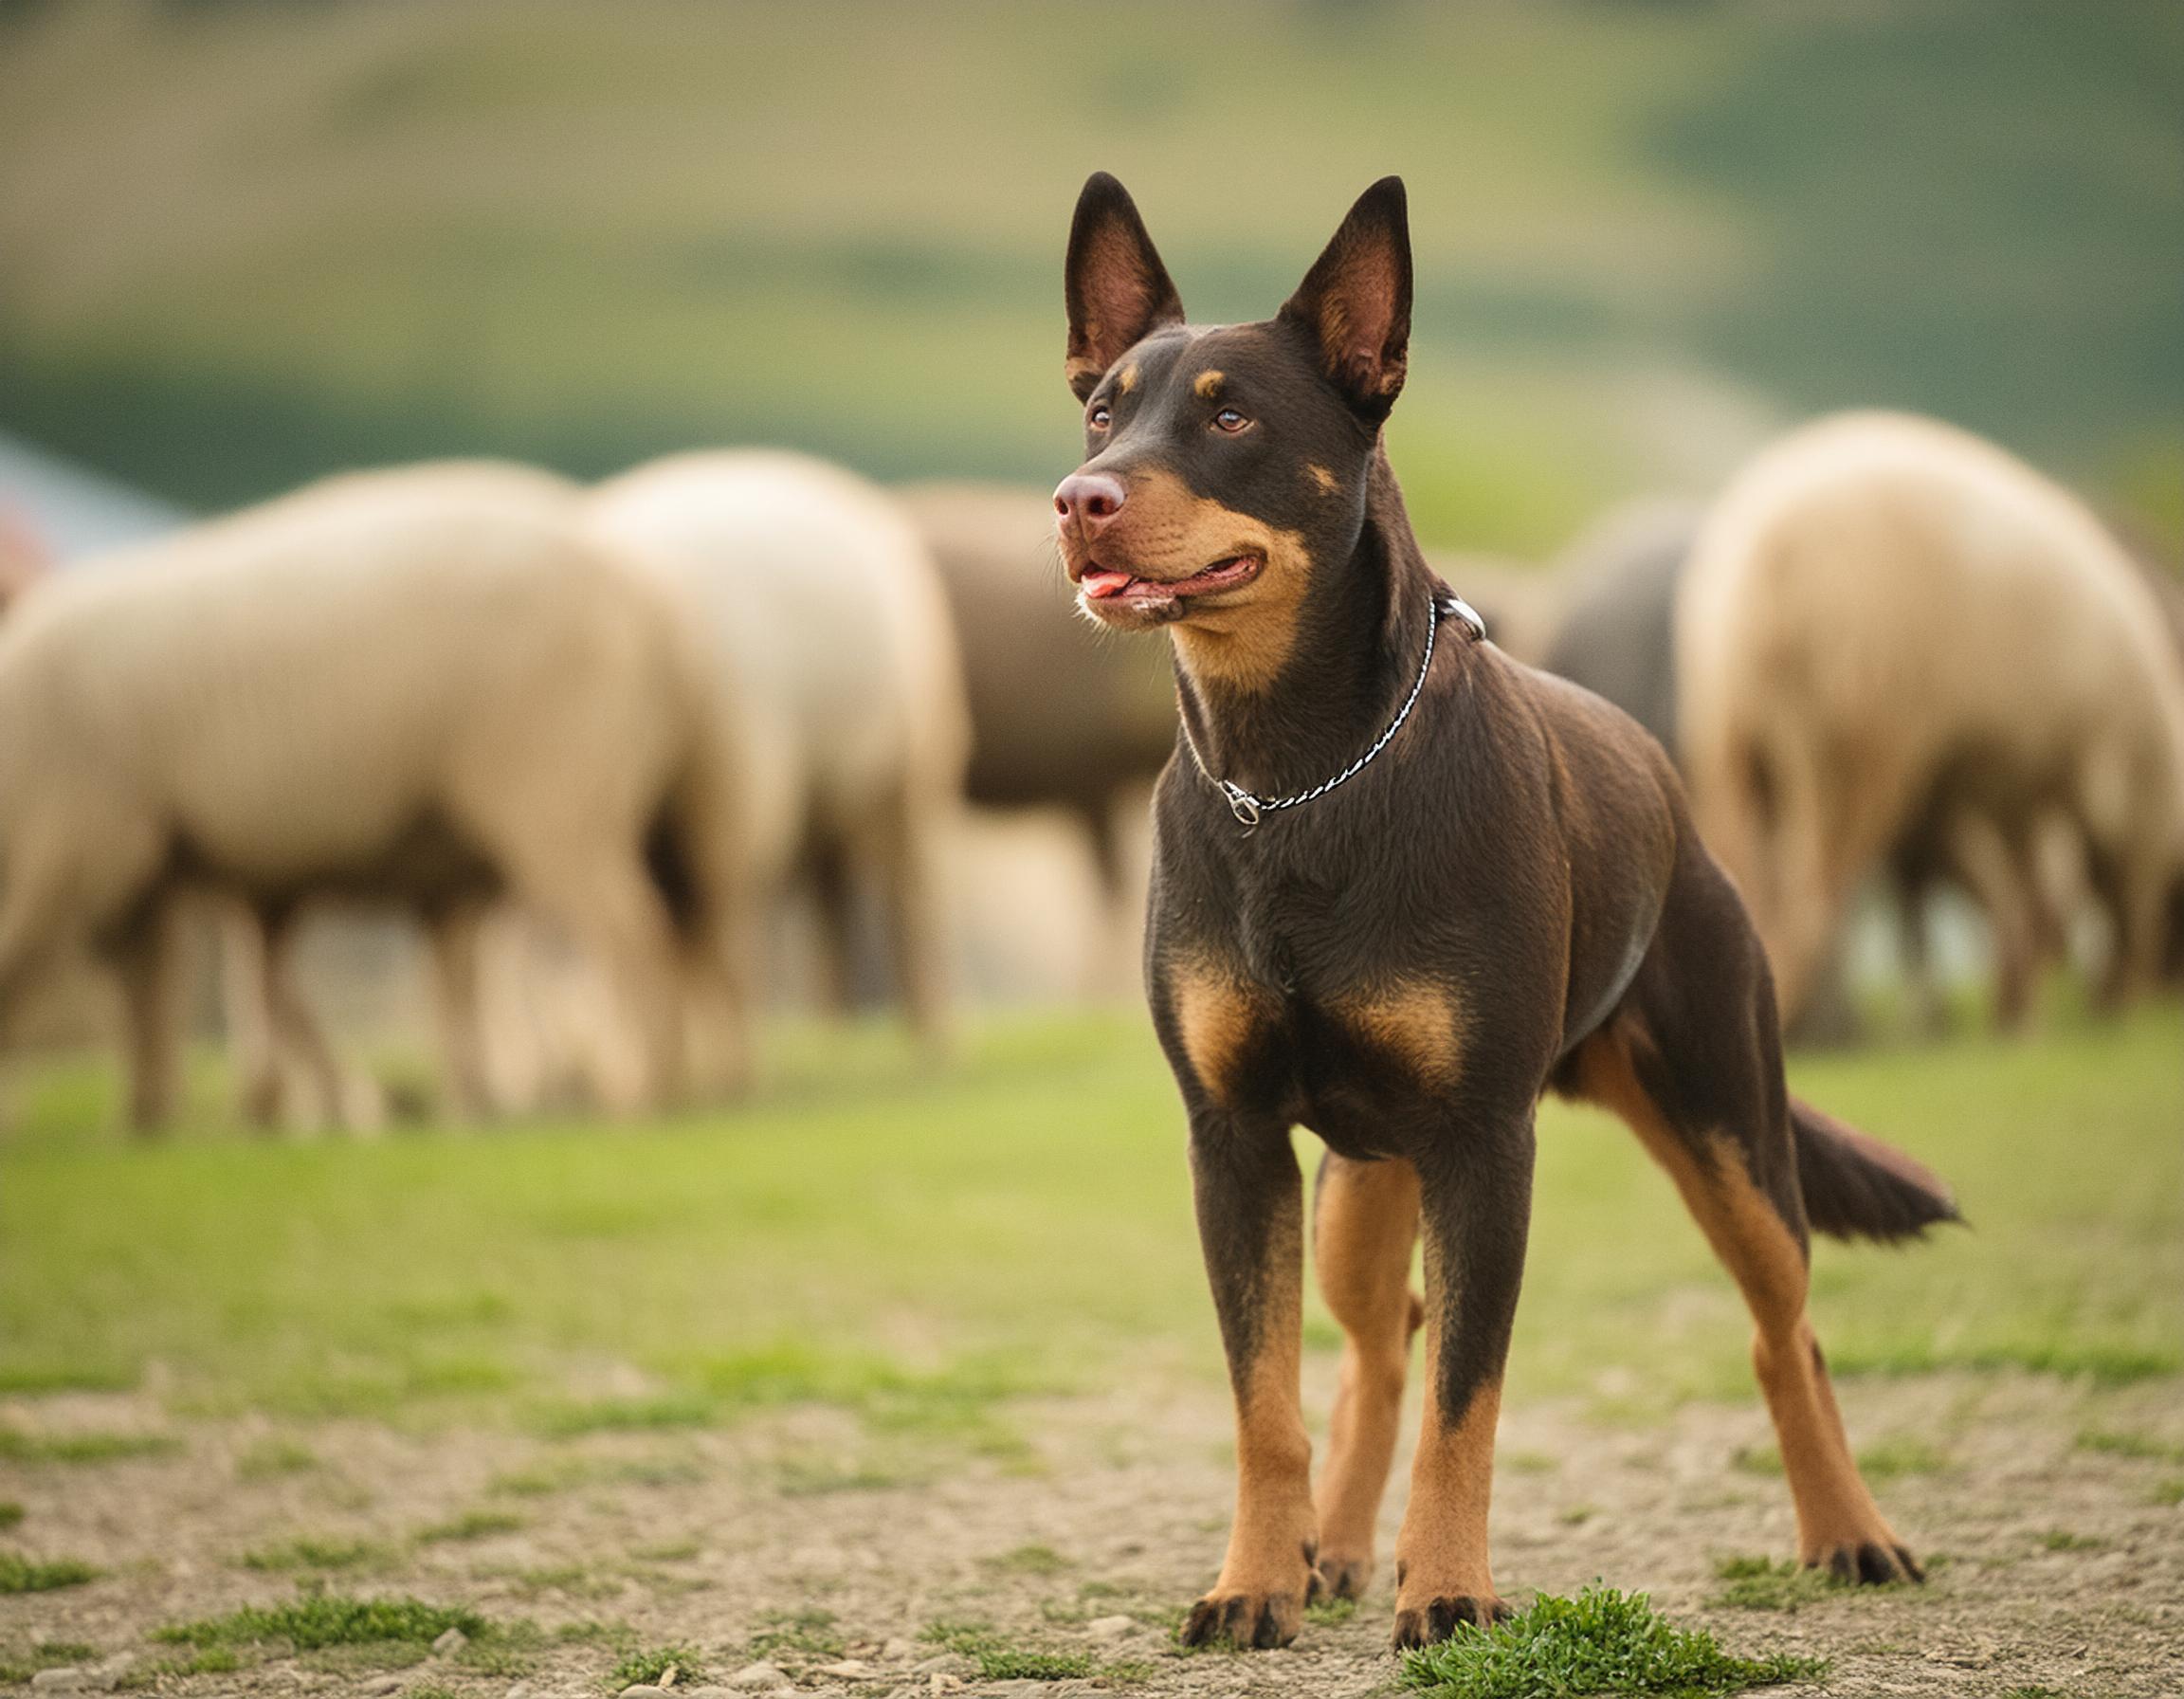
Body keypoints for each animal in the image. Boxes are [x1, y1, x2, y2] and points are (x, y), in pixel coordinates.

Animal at [0, 463, 751, 1126]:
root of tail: (661, 611)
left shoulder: (86, 846)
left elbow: (105, 978)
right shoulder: (165, 869)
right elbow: (163, 992)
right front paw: (165, 1116)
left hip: (560, 800)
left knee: (632, 937)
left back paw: (637, 1092)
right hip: (623, 813)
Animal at [1047, 178, 1956, 1651]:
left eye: (1234, 419)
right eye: (1101, 412)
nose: (1082, 498)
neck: (1298, 775)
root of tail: (1667, 785)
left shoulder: (1485, 1145)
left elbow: (1466, 1403)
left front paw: (1454, 1592)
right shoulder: (1234, 1141)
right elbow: (1267, 1404)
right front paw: (1256, 1582)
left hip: (1728, 1133)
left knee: (1786, 1332)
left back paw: (1850, 1533)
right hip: (1363, 1181)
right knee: (1376, 1347)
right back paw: (1333, 1550)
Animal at [1668, 408, 2184, 1017]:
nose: (2158, 994)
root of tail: (1769, 571)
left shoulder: (2014, 789)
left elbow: (2030, 906)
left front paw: (2023, 1011)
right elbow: (2093, 908)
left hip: (1733, 736)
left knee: (1746, 878)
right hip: (1854, 739)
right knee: (1811, 903)